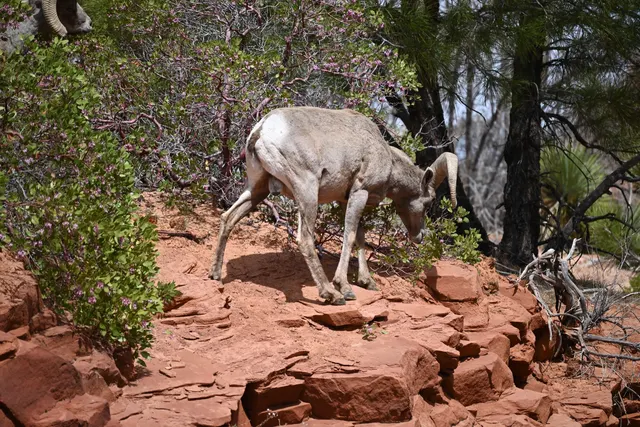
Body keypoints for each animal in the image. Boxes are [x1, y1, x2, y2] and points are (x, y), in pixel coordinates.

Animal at [209, 106, 458, 305]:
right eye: (428, 201)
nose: (420, 236)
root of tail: (261, 131)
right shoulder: (360, 192)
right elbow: (349, 236)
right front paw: (345, 288)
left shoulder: (347, 198)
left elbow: (360, 237)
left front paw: (367, 282)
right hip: (307, 192)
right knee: (305, 239)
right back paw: (331, 294)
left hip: (257, 189)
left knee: (227, 217)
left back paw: (215, 274)